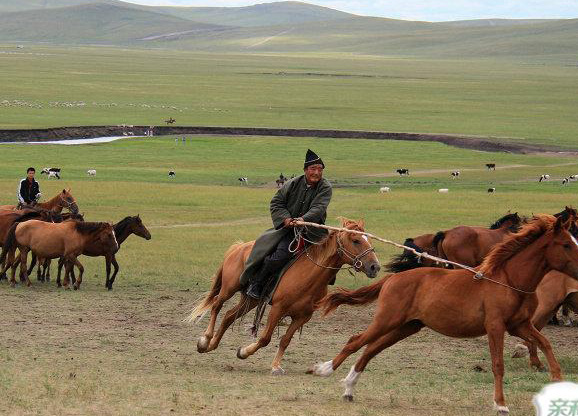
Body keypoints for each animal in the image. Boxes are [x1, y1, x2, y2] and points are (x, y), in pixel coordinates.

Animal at [187, 219, 380, 376]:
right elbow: (265, 338)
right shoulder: (278, 309)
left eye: (368, 240)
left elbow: (285, 341)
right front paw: (244, 352)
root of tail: (238, 247)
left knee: (228, 316)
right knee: (216, 306)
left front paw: (275, 366)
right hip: (229, 288)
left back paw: (211, 345)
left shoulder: (302, 316)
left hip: (251, 300)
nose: (374, 267)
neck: (308, 277)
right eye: (356, 240)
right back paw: (205, 340)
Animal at [310, 214, 576, 416]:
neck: (509, 281)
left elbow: (545, 343)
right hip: (387, 320)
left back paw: (349, 388)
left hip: (407, 326)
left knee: (371, 349)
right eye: (566, 244)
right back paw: (326, 370)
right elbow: (498, 365)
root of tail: (392, 278)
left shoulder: (520, 325)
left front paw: (557, 380)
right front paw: (500, 405)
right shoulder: (495, 326)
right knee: (356, 341)